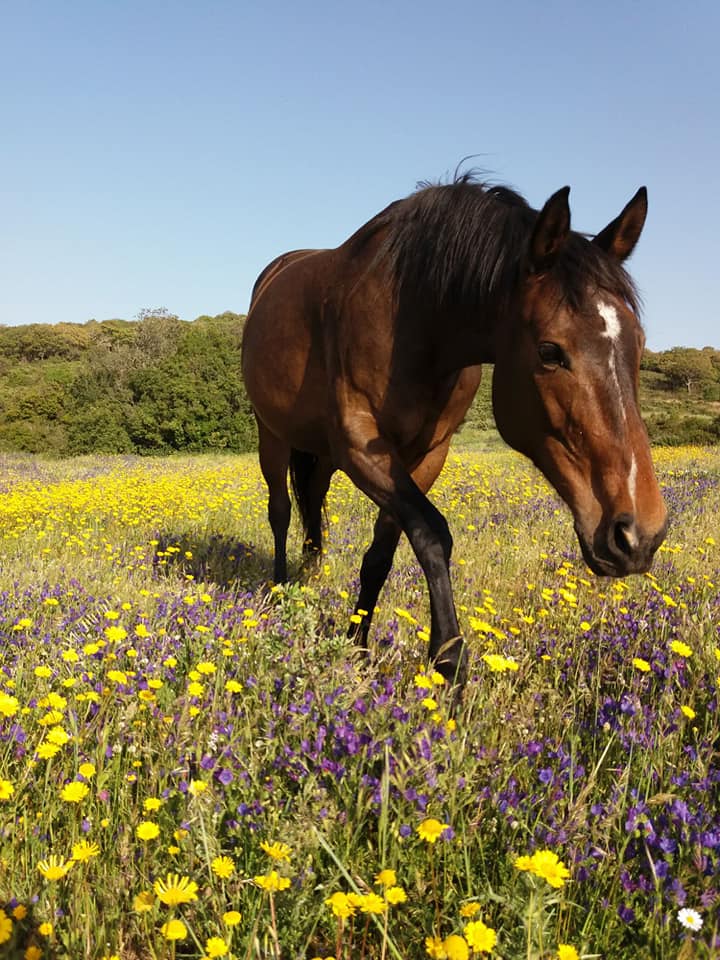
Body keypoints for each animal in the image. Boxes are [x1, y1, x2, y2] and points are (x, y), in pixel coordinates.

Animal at [241, 175, 668, 697]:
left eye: (639, 343)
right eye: (550, 351)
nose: (639, 535)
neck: (414, 319)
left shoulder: (426, 454)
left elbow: (382, 553)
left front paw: (357, 645)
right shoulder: (359, 445)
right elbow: (431, 534)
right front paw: (450, 660)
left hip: (318, 451)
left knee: (312, 502)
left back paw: (311, 573)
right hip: (272, 434)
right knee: (281, 511)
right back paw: (281, 590)